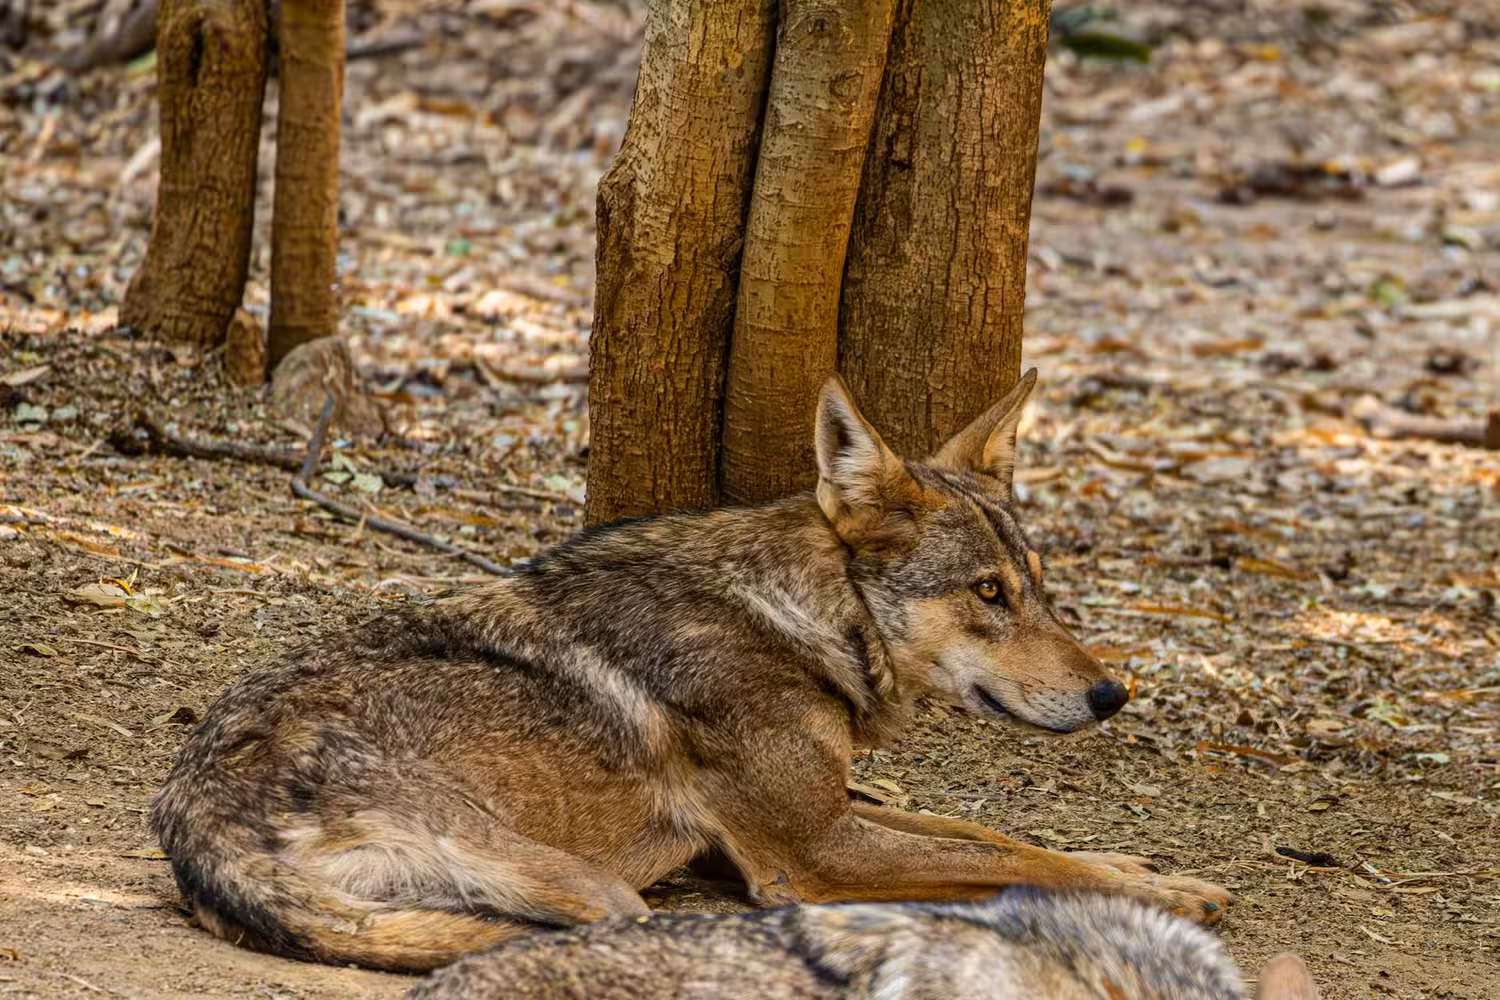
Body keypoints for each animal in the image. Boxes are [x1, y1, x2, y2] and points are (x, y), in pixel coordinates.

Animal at [151, 369, 1231, 972]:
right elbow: (1016, 858)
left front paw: (1142, 871)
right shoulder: (809, 850)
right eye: (987, 593)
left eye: (1037, 589)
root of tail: (189, 818)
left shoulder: (812, 817)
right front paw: (1169, 896)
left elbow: (990, 832)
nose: (1112, 694)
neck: (804, 617)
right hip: (594, 889)